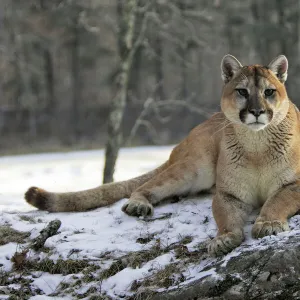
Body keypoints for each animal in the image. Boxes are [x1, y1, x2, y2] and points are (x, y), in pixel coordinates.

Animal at [24, 54, 300, 255]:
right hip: (195, 167)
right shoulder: (228, 193)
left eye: (269, 92)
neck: (257, 145)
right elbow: (225, 216)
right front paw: (224, 238)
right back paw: (138, 204)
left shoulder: (294, 184)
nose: (257, 111)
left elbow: (277, 200)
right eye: (242, 91)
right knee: (147, 185)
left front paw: (268, 224)